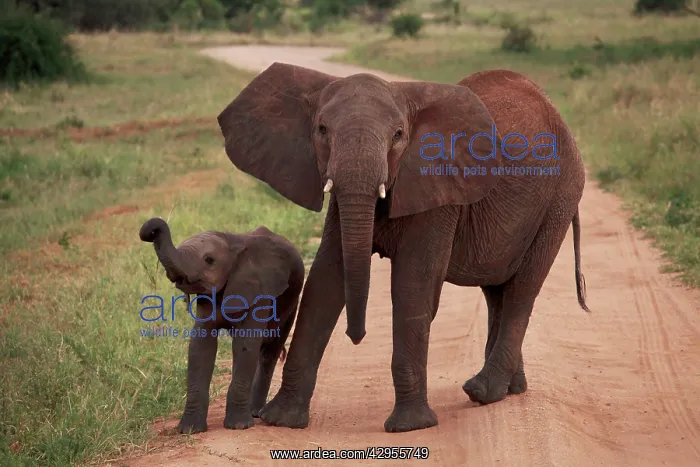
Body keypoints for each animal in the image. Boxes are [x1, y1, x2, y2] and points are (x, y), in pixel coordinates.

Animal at [139, 217, 305, 433]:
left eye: (209, 260)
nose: (149, 231)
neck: (231, 241)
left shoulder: (259, 290)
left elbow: (245, 345)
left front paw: (239, 427)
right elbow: (201, 347)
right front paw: (189, 430)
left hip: (292, 302)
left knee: (269, 350)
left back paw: (255, 412)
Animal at [215, 63, 590, 433]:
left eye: (397, 135)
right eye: (321, 130)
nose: (356, 336)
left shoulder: (438, 190)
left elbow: (412, 285)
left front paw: (411, 426)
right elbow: (325, 280)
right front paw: (281, 420)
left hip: (561, 195)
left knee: (522, 290)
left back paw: (483, 392)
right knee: (497, 290)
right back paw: (510, 389)